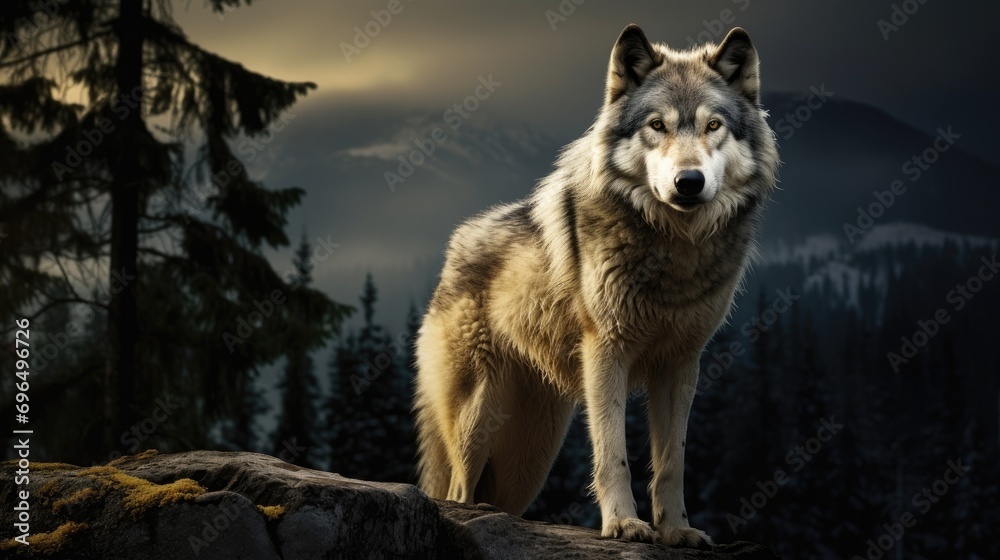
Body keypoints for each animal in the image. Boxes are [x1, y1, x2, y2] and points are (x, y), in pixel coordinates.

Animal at [413, 24, 779, 548]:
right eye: (657, 125)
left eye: (713, 126)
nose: (689, 182)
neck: (672, 249)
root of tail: (453, 250)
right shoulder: (608, 351)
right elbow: (614, 455)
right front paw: (624, 524)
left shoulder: (682, 364)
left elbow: (672, 462)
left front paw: (677, 530)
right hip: (479, 415)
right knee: (458, 492)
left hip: (532, 457)